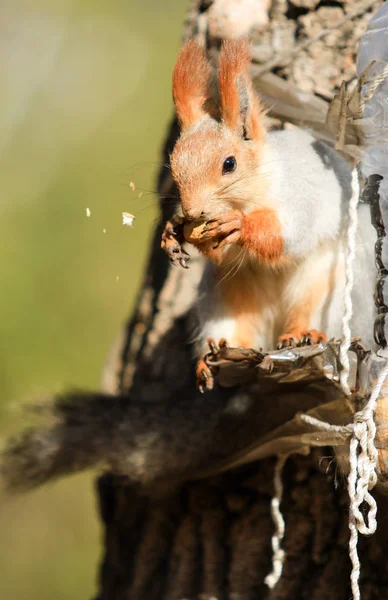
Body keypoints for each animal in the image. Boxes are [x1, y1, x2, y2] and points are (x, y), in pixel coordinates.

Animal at [162, 39, 378, 392]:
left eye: (229, 164)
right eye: (175, 164)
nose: (193, 211)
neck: (253, 192)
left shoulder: (301, 197)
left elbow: (284, 235)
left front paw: (240, 225)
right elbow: (219, 252)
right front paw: (172, 233)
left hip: (329, 291)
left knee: (311, 316)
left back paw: (302, 335)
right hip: (227, 299)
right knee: (235, 335)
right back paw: (219, 359)